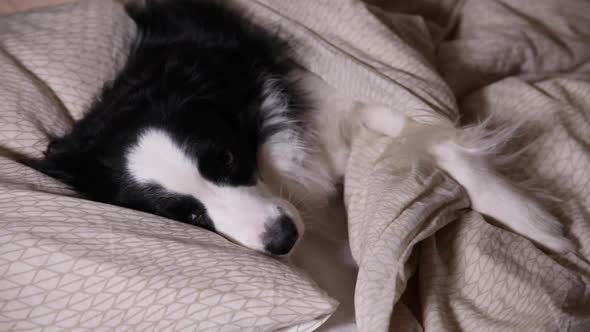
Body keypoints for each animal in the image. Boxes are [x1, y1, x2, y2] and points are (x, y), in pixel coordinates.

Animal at [23, 0, 572, 255]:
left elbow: (444, 139)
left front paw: (533, 223)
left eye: (225, 158)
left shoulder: (354, 86)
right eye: (188, 216)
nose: (282, 240)